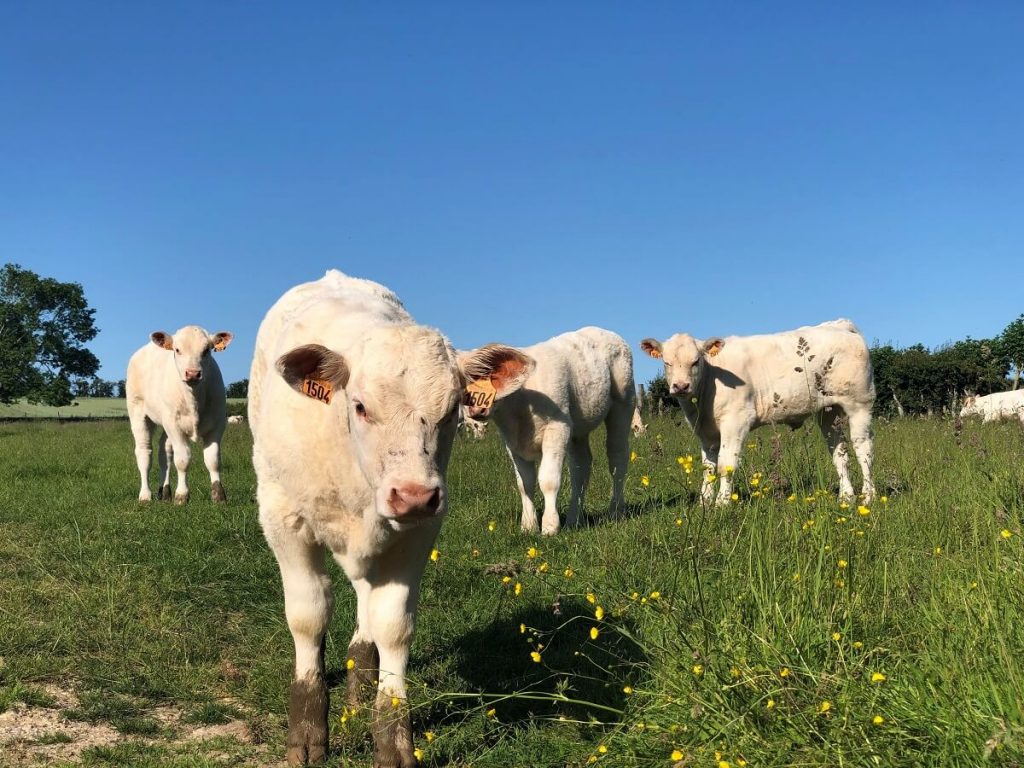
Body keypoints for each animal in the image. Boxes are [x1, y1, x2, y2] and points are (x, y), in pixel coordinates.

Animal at [126, 325, 233, 505]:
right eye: (177, 350)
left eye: (207, 350)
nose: (192, 373)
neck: (194, 399)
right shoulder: (174, 426)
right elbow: (182, 460)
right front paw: (182, 495)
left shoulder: (217, 424)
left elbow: (213, 460)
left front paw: (219, 496)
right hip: (138, 413)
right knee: (144, 453)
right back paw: (145, 495)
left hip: (165, 421)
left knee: (165, 454)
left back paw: (164, 492)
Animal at [249, 268, 536, 765]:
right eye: (360, 406)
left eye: (452, 410)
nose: (414, 495)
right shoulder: (284, 519)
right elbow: (308, 615)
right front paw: (307, 729)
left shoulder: (418, 532)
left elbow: (394, 626)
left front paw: (392, 735)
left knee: (366, 595)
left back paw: (361, 675)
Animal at [466, 327, 634, 536]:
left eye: (487, 375)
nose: (476, 409)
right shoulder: (512, 442)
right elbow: (525, 483)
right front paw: (528, 526)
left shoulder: (557, 428)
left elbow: (548, 479)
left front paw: (549, 527)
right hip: (578, 427)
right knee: (581, 468)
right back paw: (574, 520)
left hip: (623, 404)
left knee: (617, 458)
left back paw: (616, 511)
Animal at [638, 319, 872, 507]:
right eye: (666, 362)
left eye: (696, 361)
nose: (680, 386)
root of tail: (839, 325)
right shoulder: (705, 432)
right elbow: (708, 469)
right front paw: (704, 503)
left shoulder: (736, 421)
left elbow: (726, 465)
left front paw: (721, 504)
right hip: (828, 412)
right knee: (839, 453)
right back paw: (846, 497)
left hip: (860, 404)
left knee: (864, 450)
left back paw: (868, 497)